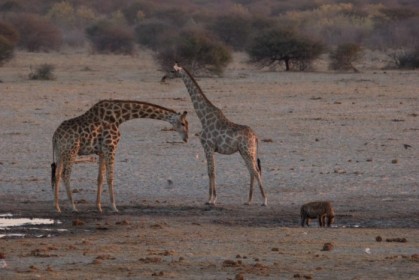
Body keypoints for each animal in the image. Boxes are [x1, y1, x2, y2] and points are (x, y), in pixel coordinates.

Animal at [51, 99, 189, 213]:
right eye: (182, 123)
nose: (186, 138)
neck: (119, 117)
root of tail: (55, 136)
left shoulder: (102, 151)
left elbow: (100, 178)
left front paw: (99, 207)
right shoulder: (111, 148)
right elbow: (110, 177)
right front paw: (114, 206)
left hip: (60, 153)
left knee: (57, 175)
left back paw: (57, 207)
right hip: (71, 151)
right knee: (65, 175)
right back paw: (73, 206)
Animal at [174, 63, 270, 206]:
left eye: (173, 71)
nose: (166, 76)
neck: (203, 117)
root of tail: (255, 137)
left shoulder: (208, 147)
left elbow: (211, 172)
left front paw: (211, 199)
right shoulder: (210, 149)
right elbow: (210, 171)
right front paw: (210, 198)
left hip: (248, 151)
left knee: (255, 171)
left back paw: (264, 200)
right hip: (245, 152)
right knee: (252, 171)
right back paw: (248, 200)